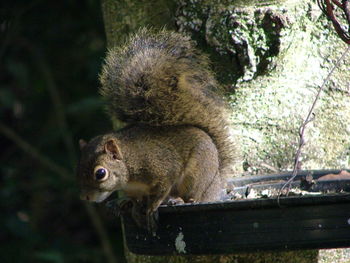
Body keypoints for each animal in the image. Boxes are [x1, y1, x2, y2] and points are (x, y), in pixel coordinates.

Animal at [76, 28, 235, 235]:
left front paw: (152, 207)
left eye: (100, 173)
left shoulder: (162, 169)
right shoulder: (134, 189)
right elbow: (137, 200)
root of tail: (216, 183)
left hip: (196, 176)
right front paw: (136, 207)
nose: (85, 198)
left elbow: (162, 190)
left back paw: (179, 200)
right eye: (77, 169)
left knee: (194, 196)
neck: (130, 163)